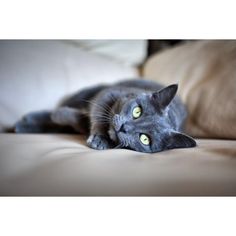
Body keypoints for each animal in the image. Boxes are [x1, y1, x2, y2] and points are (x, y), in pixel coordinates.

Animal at [13, 79, 196, 153]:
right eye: (137, 111)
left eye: (145, 139)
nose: (123, 127)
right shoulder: (109, 93)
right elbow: (99, 115)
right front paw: (99, 139)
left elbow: (78, 120)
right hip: (86, 92)